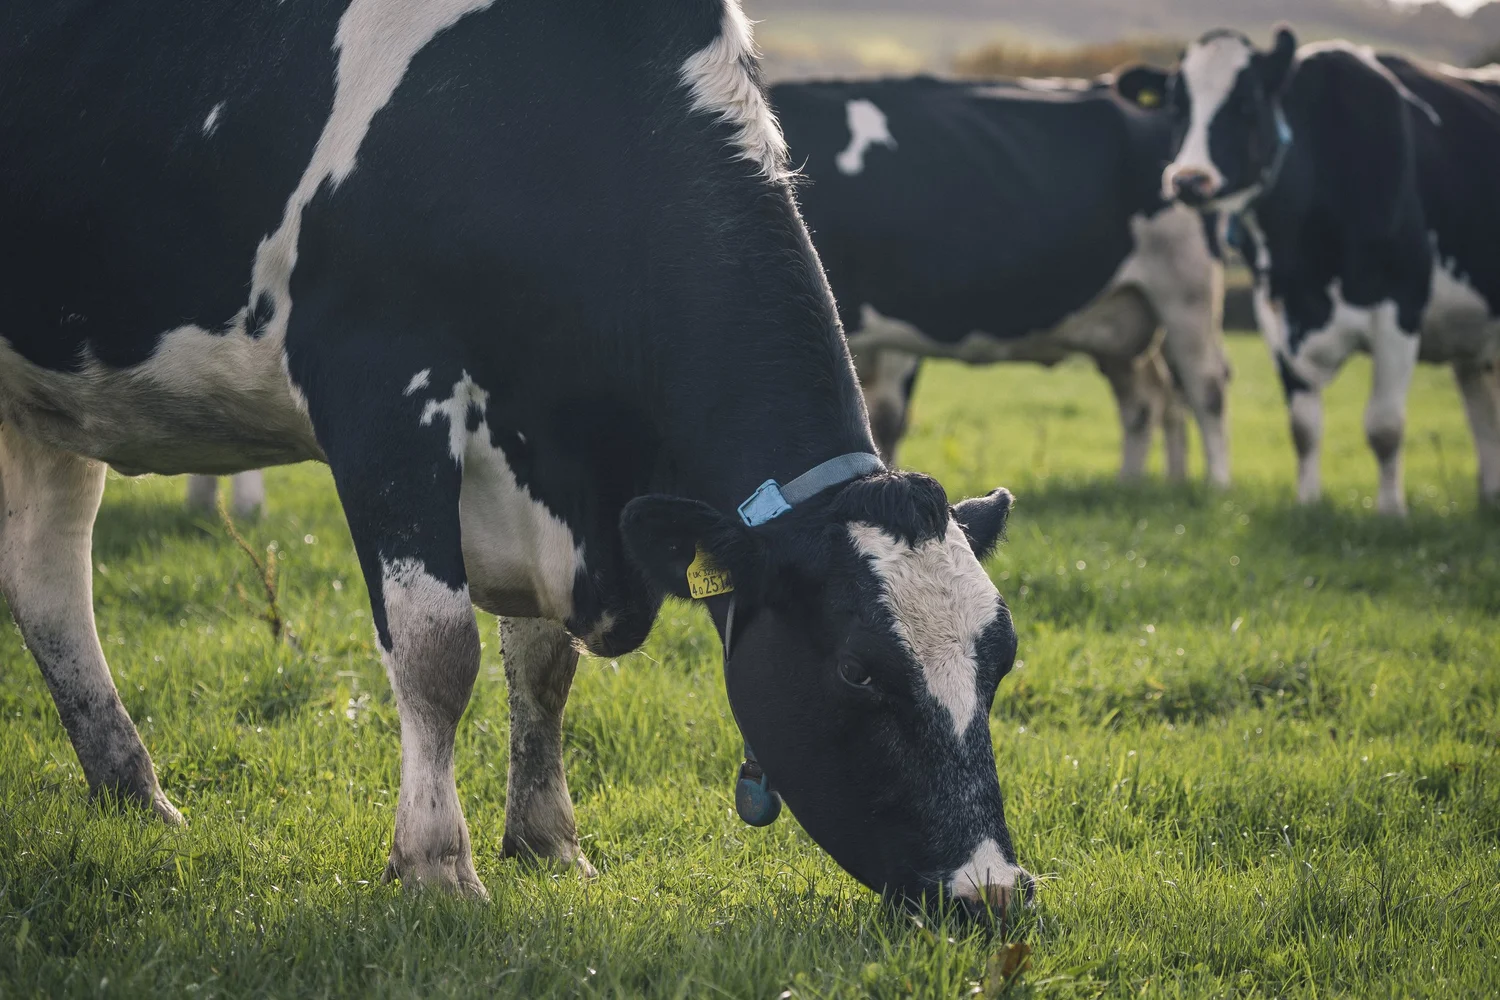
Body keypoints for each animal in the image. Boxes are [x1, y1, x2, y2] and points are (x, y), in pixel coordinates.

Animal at [0, 0, 1031, 916]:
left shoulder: (550, 468)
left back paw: (134, 794)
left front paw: (546, 840)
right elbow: (437, 650)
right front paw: (436, 867)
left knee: (49, 578)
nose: (997, 895)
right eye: (859, 669)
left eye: (1001, 663)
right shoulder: (381, 384)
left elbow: (542, 663)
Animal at [771, 75, 1232, 483]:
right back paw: (1131, 487)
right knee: (1143, 400)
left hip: (1185, 290)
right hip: (1122, 316)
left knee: (1206, 387)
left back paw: (1215, 489)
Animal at [1154, 28, 1500, 513]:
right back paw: (1490, 498)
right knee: (1482, 407)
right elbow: (1303, 427)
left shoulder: (1401, 305)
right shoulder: (1276, 314)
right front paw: (1308, 504)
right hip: (1470, 338)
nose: (1187, 180)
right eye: (1176, 107)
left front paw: (1390, 513)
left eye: (1247, 103)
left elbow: (1384, 425)